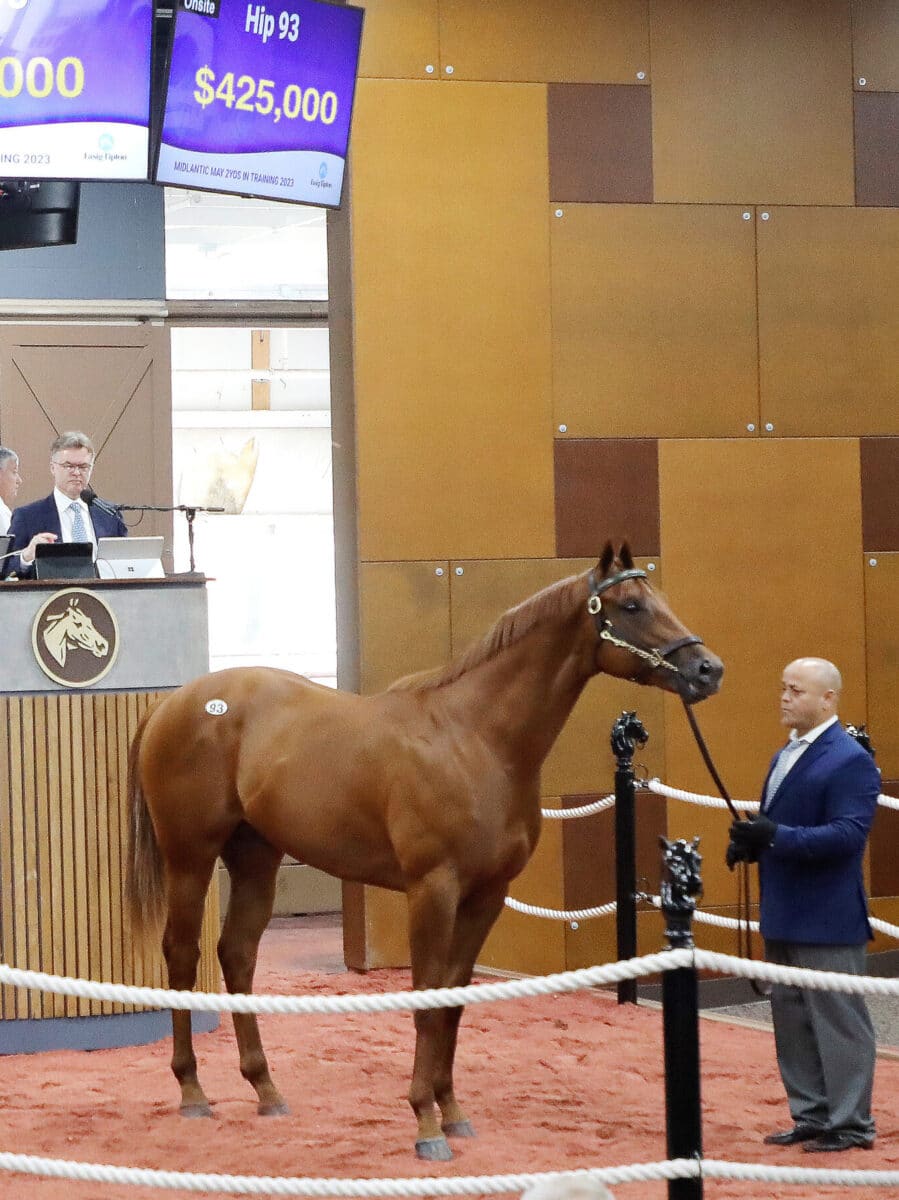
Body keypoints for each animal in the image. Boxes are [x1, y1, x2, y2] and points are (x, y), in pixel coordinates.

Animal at [126, 547, 720, 1161]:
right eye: (630, 606)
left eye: (657, 597)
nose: (708, 670)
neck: (476, 740)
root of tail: (176, 702)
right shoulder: (432, 890)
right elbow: (427, 999)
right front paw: (426, 1123)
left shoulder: (487, 896)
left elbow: (452, 1002)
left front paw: (452, 1112)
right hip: (190, 857)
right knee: (181, 954)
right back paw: (192, 1092)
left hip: (256, 858)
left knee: (238, 954)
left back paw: (266, 1090)